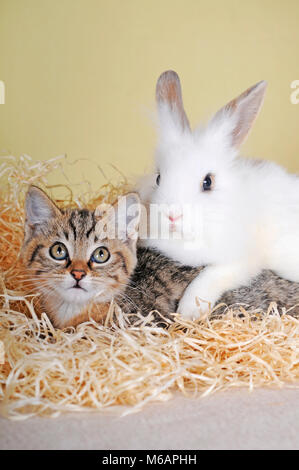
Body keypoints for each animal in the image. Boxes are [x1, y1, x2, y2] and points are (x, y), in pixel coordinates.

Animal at [138, 70, 299, 320]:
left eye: (208, 182)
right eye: (158, 178)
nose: (172, 216)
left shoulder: (243, 260)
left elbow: (212, 275)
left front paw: (189, 311)